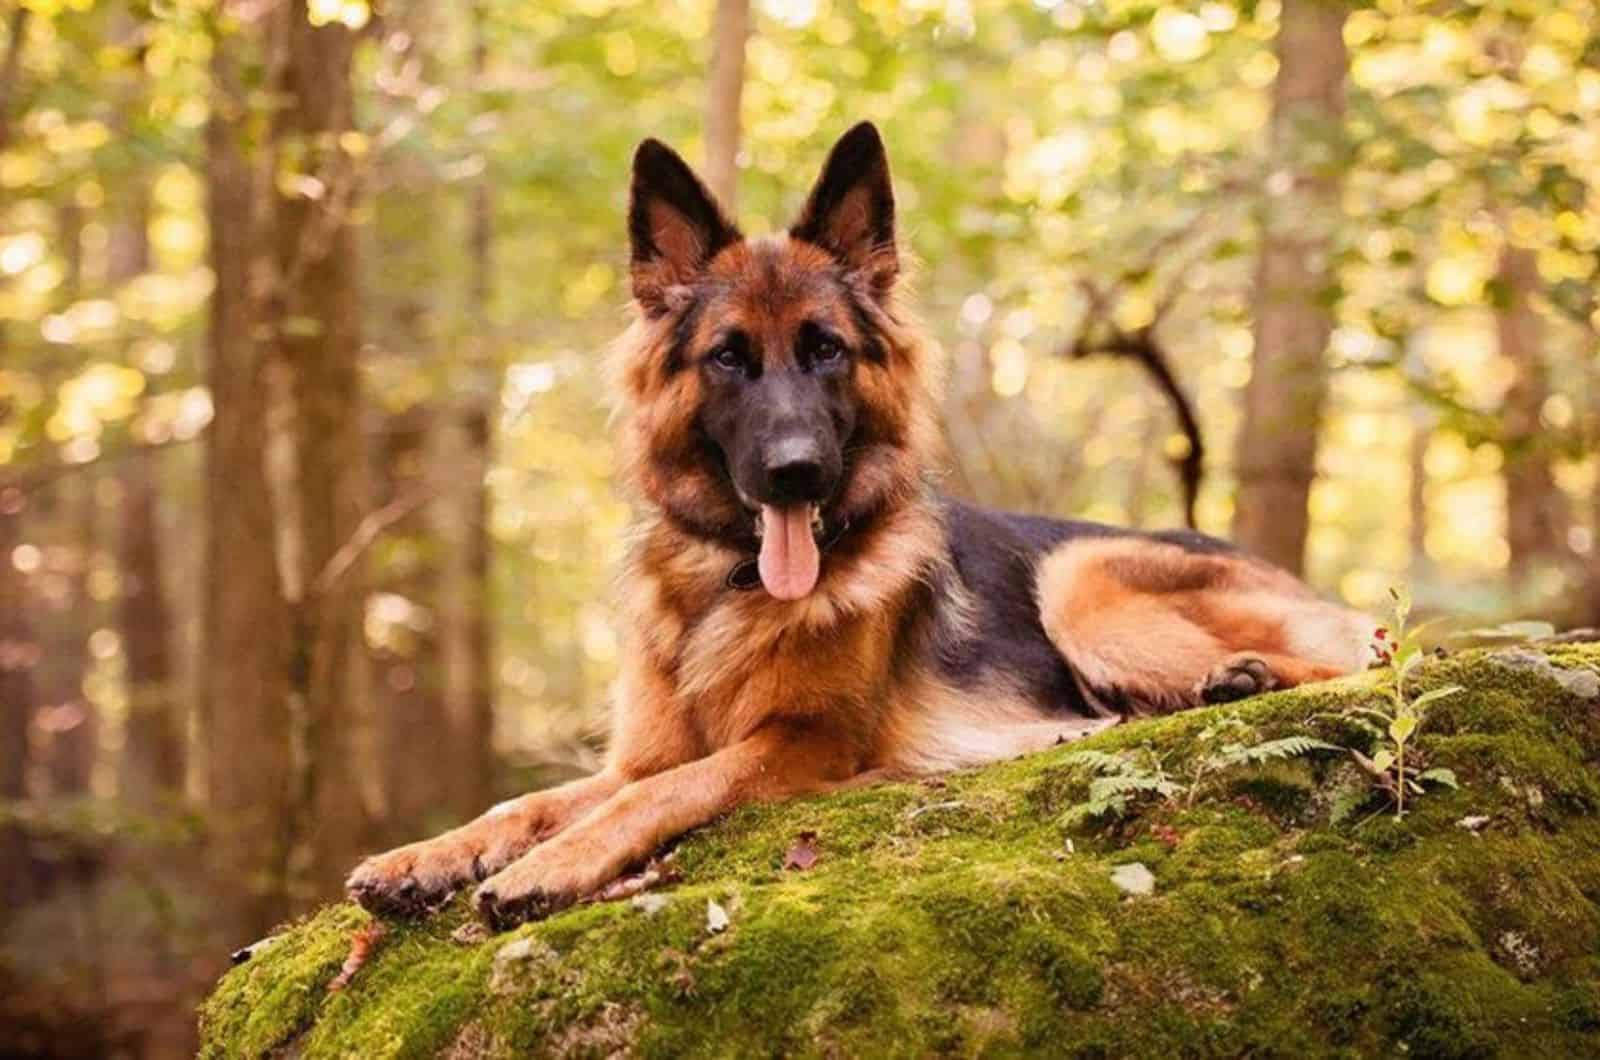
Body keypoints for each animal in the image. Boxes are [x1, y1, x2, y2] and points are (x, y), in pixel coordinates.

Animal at [344, 120, 1369, 928]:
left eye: (826, 350)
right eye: (728, 358)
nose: (797, 469)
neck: (730, 586)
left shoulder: (804, 743)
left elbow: (664, 793)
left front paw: (551, 865)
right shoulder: (640, 753)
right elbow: (531, 799)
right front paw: (425, 854)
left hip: (1080, 583)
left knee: (1369, 662)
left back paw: (1243, 678)